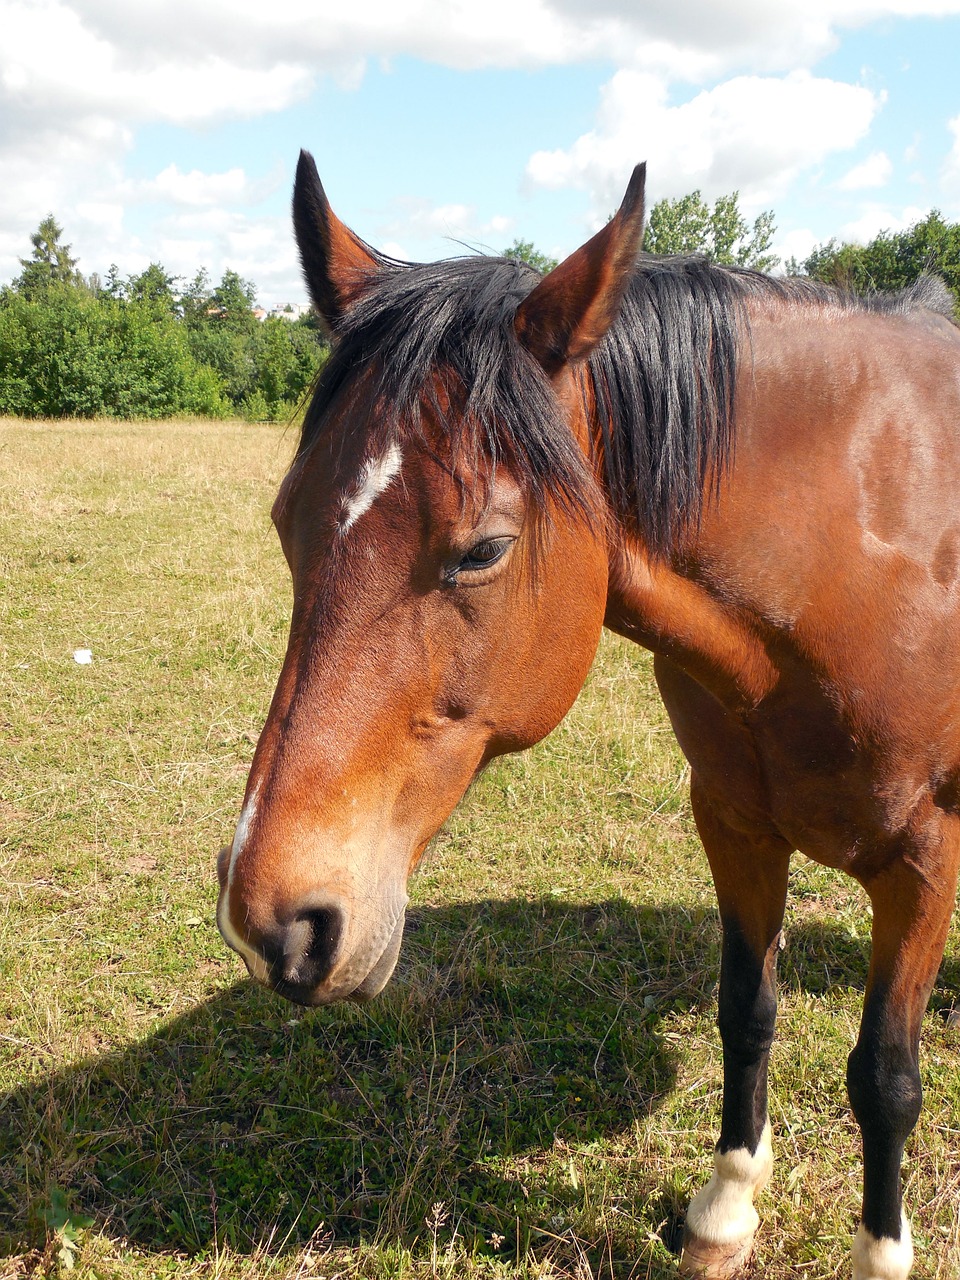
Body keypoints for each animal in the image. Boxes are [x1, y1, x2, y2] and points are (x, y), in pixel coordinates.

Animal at [217, 152, 960, 1280]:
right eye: (285, 519)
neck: (859, 548)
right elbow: (748, 1010)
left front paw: (880, 1252)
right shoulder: (735, 821)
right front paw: (724, 1211)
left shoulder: (924, 860)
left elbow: (885, 1075)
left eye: (483, 548)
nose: (273, 920)